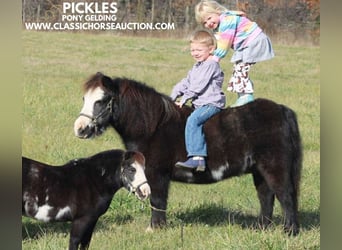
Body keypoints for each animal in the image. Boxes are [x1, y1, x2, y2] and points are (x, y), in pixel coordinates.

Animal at [21, 149, 150, 249]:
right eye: (132, 169)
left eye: (144, 168)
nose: (145, 192)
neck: (93, 180)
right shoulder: (81, 220)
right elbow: (74, 243)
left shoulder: (92, 220)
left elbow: (85, 243)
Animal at [73, 73, 302, 236]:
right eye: (84, 98)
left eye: (102, 100)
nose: (80, 129)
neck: (153, 127)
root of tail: (282, 111)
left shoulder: (157, 175)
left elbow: (157, 201)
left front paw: (155, 229)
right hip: (259, 170)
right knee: (266, 196)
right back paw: (262, 228)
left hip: (275, 167)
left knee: (285, 195)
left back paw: (289, 232)